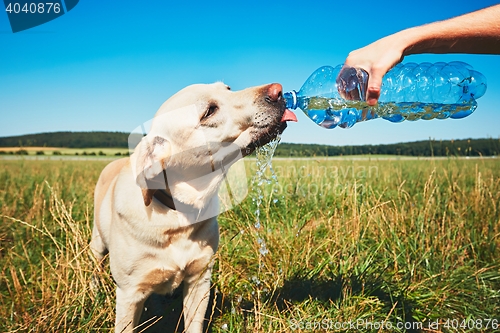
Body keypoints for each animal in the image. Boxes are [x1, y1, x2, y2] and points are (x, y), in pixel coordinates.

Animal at [91, 81, 296, 332]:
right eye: (209, 111)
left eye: (228, 88)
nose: (278, 90)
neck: (179, 215)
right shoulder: (129, 293)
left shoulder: (199, 280)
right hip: (97, 243)